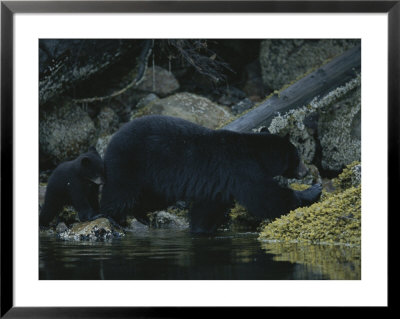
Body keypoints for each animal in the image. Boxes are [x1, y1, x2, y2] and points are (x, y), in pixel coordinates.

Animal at [101, 115, 322, 232]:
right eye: (297, 156)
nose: (305, 171)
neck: (254, 152)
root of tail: (113, 138)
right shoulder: (240, 169)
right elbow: (264, 196)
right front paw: (312, 191)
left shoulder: (217, 183)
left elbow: (208, 206)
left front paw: (201, 228)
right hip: (131, 163)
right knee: (120, 192)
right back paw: (115, 218)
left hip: (153, 180)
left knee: (150, 197)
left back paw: (142, 216)